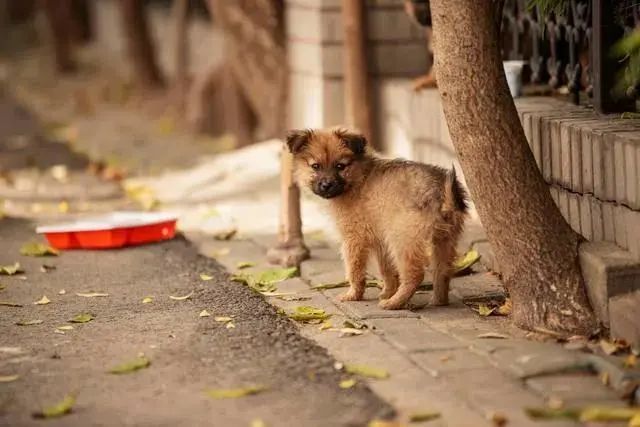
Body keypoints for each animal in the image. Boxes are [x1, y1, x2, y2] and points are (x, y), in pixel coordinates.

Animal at [288, 129, 468, 310]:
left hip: (403, 240)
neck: (358, 178)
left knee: (415, 274)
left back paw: (393, 303)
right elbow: (386, 270)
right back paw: (438, 301)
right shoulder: (381, 242)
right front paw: (387, 291)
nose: (326, 185)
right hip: (444, 240)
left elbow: (354, 270)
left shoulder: (354, 238)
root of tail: (442, 192)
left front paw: (353, 295)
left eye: (340, 166)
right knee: (443, 271)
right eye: (315, 166)